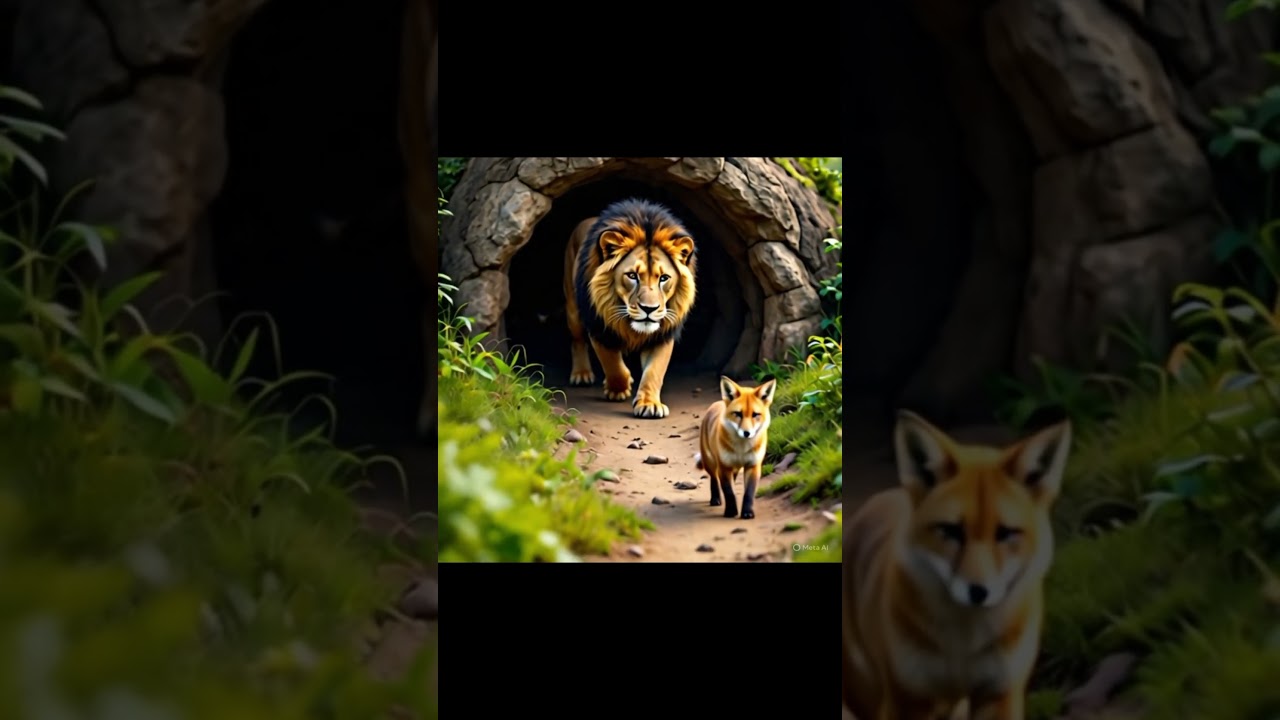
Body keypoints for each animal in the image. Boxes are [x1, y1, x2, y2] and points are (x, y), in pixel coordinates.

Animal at [563, 198, 697, 419]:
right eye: (632, 276)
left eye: (664, 278)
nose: (649, 309)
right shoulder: (599, 326)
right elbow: (612, 364)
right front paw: (619, 389)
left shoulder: (662, 333)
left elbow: (654, 371)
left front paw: (650, 404)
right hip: (573, 310)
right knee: (577, 340)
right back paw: (581, 374)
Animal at [694, 376, 777, 520]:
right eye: (738, 414)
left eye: (755, 414)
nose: (746, 433)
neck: (741, 450)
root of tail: (718, 402)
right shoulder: (724, 466)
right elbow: (729, 492)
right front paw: (731, 511)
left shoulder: (753, 466)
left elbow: (748, 493)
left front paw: (747, 512)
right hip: (711, 463)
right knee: (714, 479)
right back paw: (715, 499)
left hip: (735, 469)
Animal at [842, 411, 1073, 720]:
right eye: (951, 530)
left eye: (1005, 533)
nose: (978, 592)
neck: (963, 648)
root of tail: (881, 497)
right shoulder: (907, 699)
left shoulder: (1000, 693)